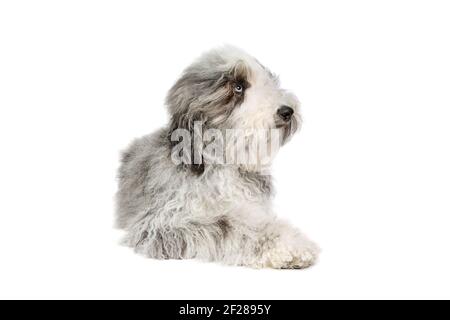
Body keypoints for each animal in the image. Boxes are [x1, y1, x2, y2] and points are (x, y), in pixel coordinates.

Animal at [116, 45, 320, 268]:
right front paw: (286, 246)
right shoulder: (163, 224)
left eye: (268, 79)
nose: (287, 111)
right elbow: (228, 225)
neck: (221, 163)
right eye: (238, 87)